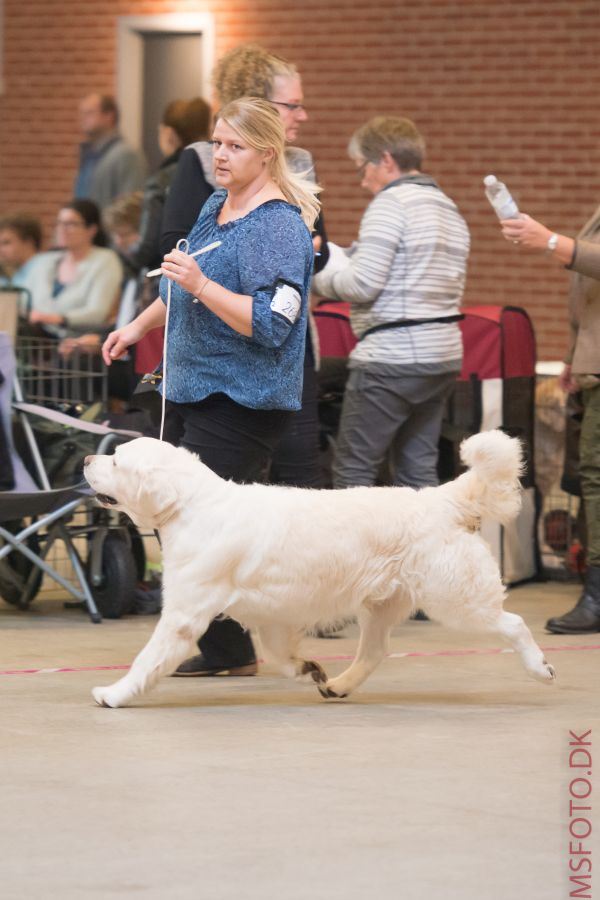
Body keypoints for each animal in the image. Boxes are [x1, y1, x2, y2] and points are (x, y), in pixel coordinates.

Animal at [85, 430, 556, 712]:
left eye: (117, 461)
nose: (89, 457)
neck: (192, 505)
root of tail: (442, 497)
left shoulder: (184, 613)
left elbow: (147, 659)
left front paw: (113, 694)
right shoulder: (271, 613)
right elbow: (278, 652)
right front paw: (306, 667)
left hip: (455, 597)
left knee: (513, 623)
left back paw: (540, 667)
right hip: (381, 605)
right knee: (374, 651)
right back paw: (339, 685)